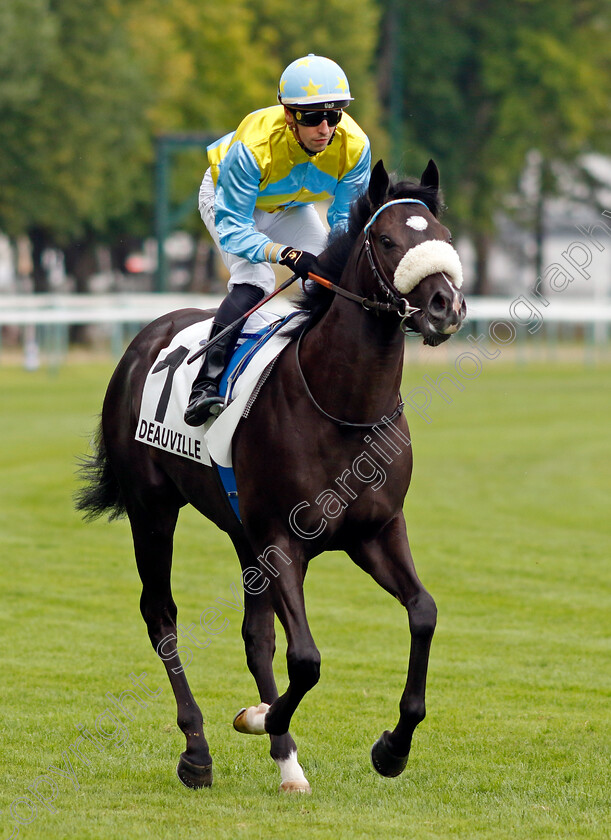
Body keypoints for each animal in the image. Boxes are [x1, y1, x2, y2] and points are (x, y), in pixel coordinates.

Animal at [77, 159, 468, 796]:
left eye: (445, 236)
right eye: (388, 241)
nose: (444, 306)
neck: (343, 407)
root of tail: (146, 336)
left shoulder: (375, 531)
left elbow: (424, 613)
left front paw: (392, 747)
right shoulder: (284, 540)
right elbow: (306, 659)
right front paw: (260, 717)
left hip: (243, 532)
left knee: (254, 634)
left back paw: (287, 762)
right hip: (152, 509)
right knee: (162, 615)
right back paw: (198, 749)